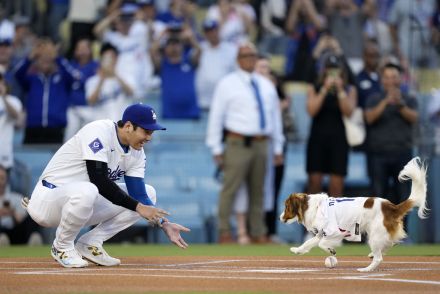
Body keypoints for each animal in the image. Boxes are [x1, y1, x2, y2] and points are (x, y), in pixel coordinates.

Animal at [280, 157, 428, 272]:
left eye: (286, 207)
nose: (280, 217)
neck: (314, 207)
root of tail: (391, 207)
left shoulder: (334, 232)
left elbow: (322, 244)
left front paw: (331, 250)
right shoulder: (322, 233)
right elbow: (308, 243)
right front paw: (297, 250)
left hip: (374, 236)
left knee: (379, 258)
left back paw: (366, 269)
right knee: (390, 245)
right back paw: (372, 255)